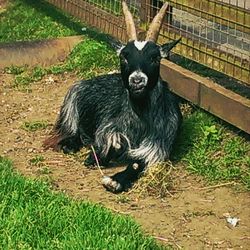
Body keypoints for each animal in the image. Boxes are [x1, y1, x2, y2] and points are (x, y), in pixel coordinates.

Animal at [43, 0, 182, 192]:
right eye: (124, 57)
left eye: (155, 58)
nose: (137, 80)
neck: (140, 119)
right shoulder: (108, 127)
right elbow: (111, 141)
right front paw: (97, 156)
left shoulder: (159, 146)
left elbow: (138, 163)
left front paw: (115, 180)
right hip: (72, 103)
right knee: (72, 130)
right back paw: (69, 145)